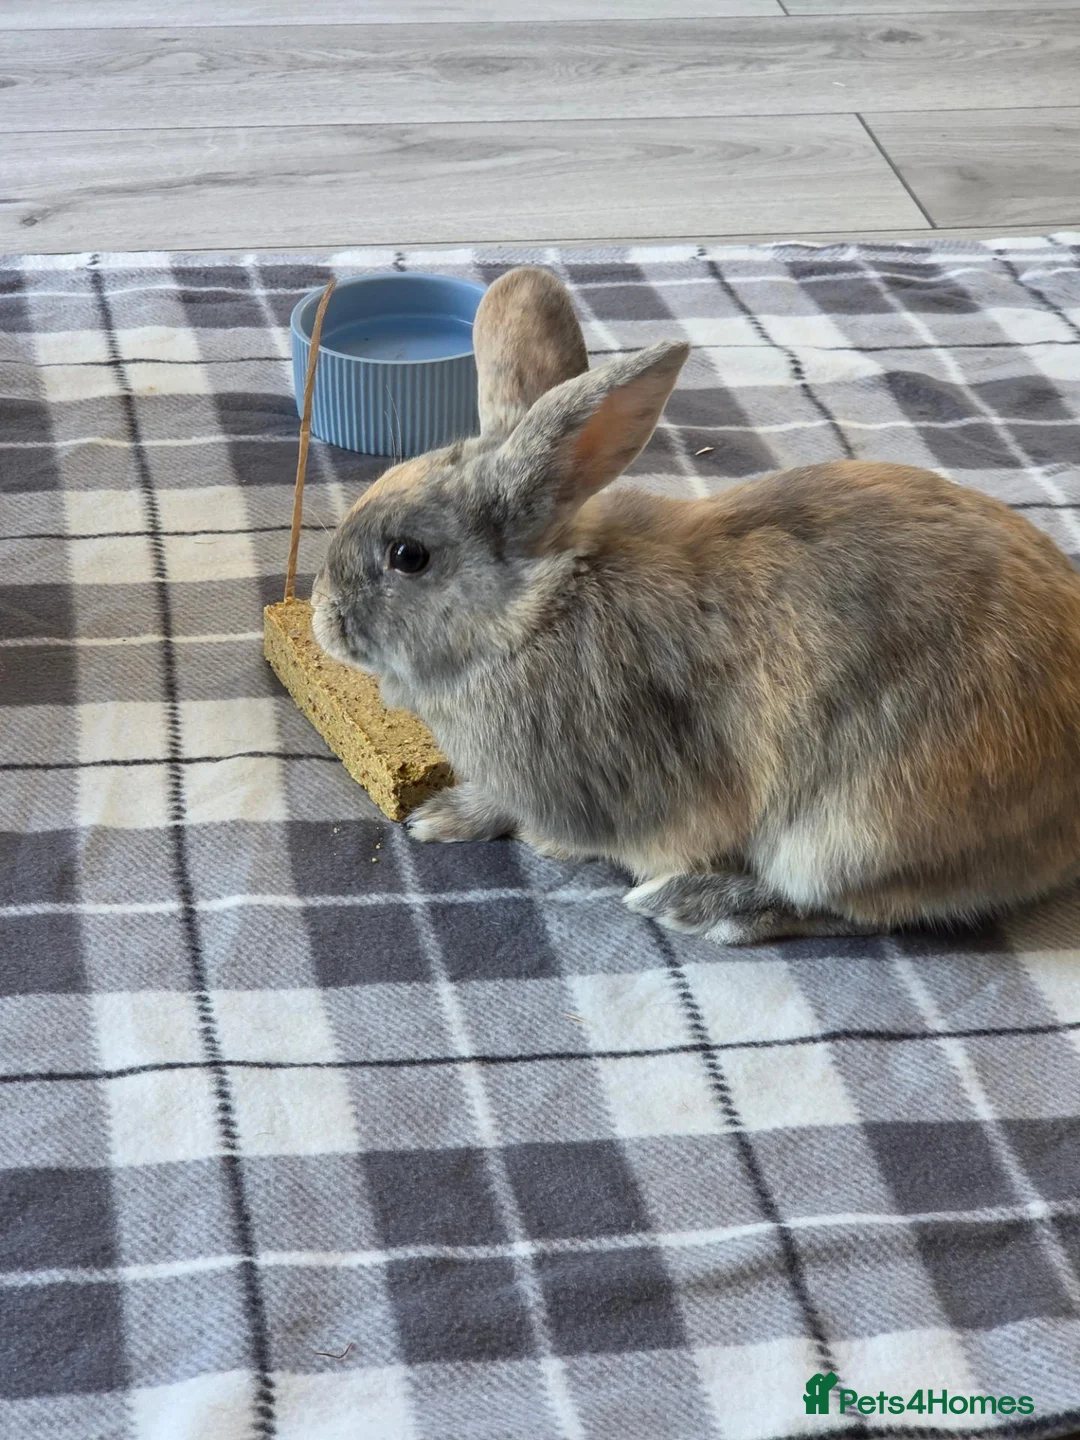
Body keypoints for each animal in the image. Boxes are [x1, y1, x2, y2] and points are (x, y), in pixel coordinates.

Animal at [311, 265, 1080, 945]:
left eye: (408, 555)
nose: (321, 619)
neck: (530, 617)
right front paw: (443, 815)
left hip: (854, 833)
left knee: (859, 909)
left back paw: (701, 905)